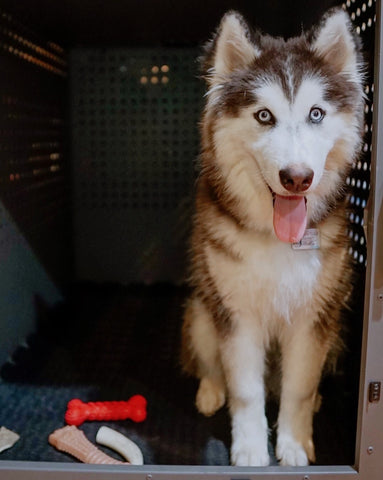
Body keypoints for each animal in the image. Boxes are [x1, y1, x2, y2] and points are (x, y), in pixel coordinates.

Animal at [182, 6, 364, 464]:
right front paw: (250, 448)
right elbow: (246, 390)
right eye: (264, 115)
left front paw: (295, 443)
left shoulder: (314, 318)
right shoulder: (236, 315)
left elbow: (298, 389)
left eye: (316, 113)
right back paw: (210, 391)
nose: (297, 178)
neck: (276, 239)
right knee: (208, 359)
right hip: (202, 309)